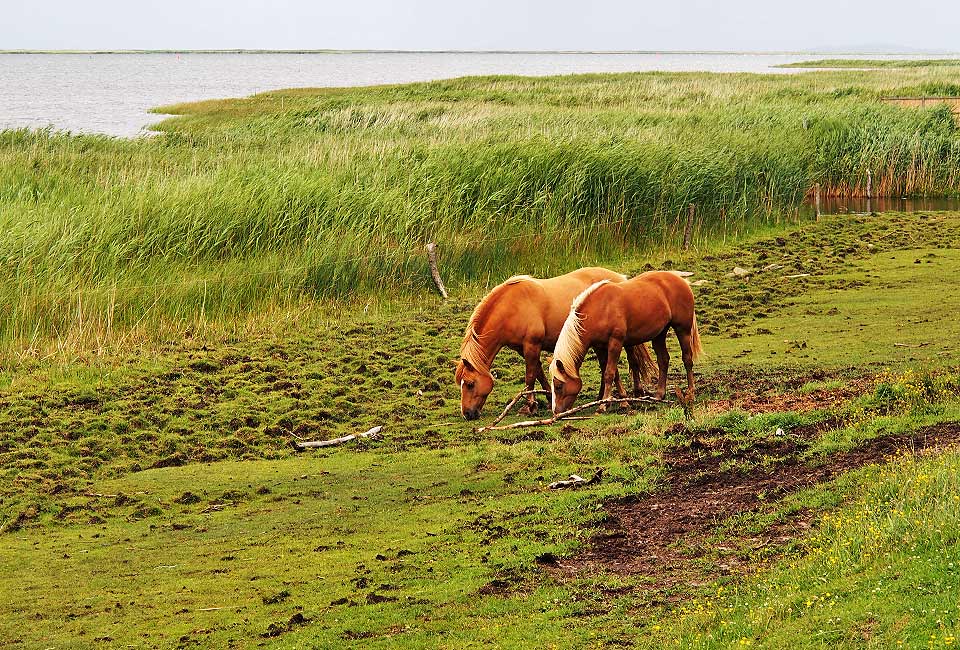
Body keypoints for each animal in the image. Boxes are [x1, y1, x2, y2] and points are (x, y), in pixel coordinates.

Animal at [456, 264, 652, 420]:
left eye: (470, 384)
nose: (467, 414)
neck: (512, 306)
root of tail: (620, 278)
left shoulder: (532, 345)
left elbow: (530, 376)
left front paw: (529, 406)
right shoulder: (523, 349)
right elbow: (539, 373)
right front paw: (548, 397)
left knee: (632, 362)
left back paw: (633, 394)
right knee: (608, 366)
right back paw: (603, 398)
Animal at [548, 270, 704, 412]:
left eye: (558, 386)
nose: (556, 411)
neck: (600, 309)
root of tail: (681, 280)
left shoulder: (615, 343)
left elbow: (609, 373)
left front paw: (603, 405)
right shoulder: (600, 347)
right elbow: (613, 373)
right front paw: (623, 401)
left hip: (682, 329)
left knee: (687, 359)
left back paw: (691, 393)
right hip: (659, 334)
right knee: (663, 360)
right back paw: (659, 395)